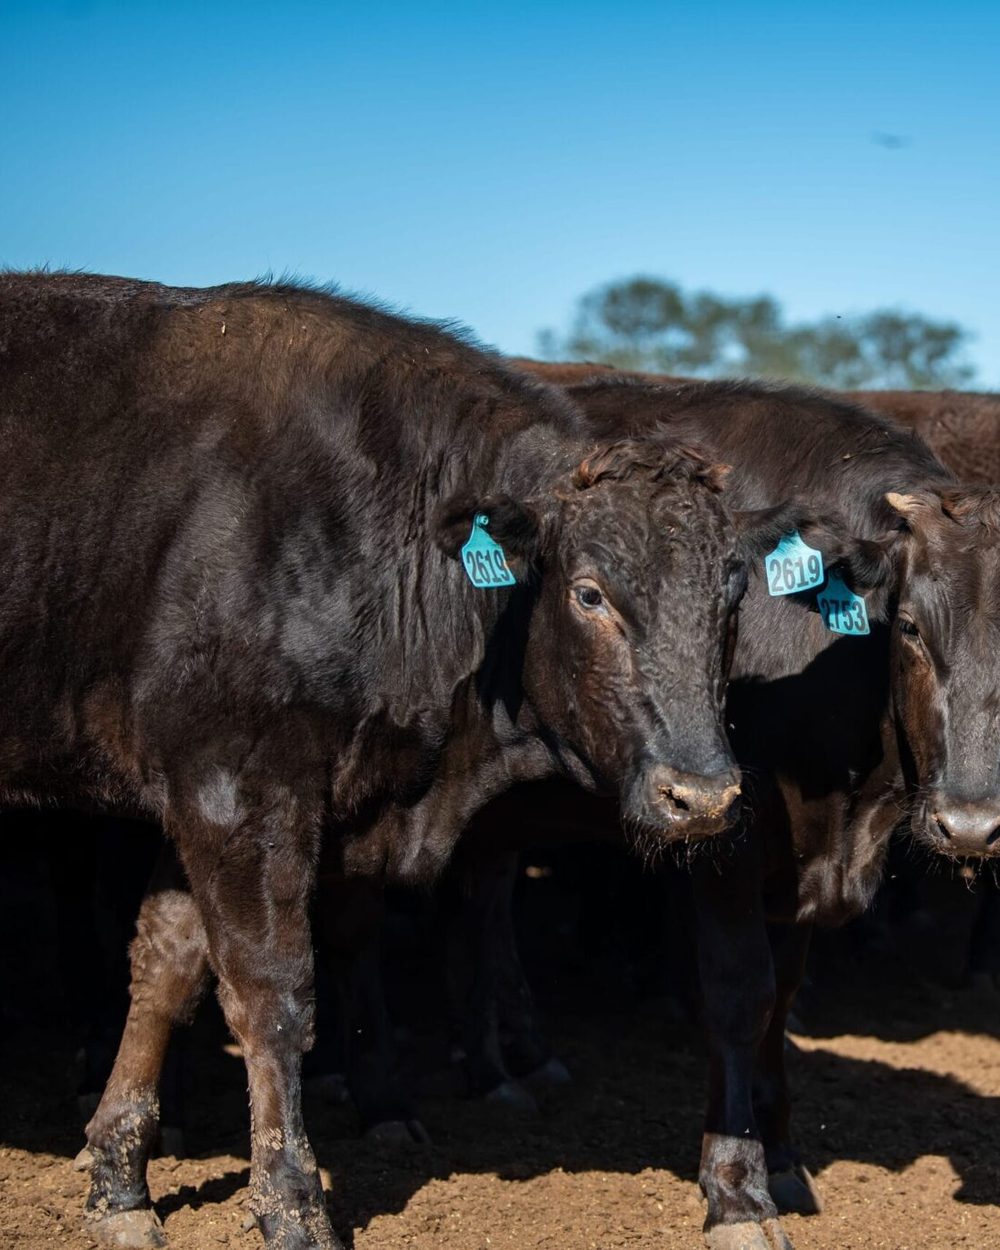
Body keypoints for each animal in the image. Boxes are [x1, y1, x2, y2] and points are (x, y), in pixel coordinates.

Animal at [0, 271, 838, 1250]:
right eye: (590, 593)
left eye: (732, 594)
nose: (701, 797)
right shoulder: (238, 787)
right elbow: (271, 995)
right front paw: (292, 1205)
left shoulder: (205, 797)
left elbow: (166, 968)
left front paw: (120, 1182)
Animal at [505, 365, 1000, 1250]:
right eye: (910, 627)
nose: (971, 824)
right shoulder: (723, 841)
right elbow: (743, 997)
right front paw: (736, 1190)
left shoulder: (801, 875)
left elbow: (783, 1001)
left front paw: (783, 1159)